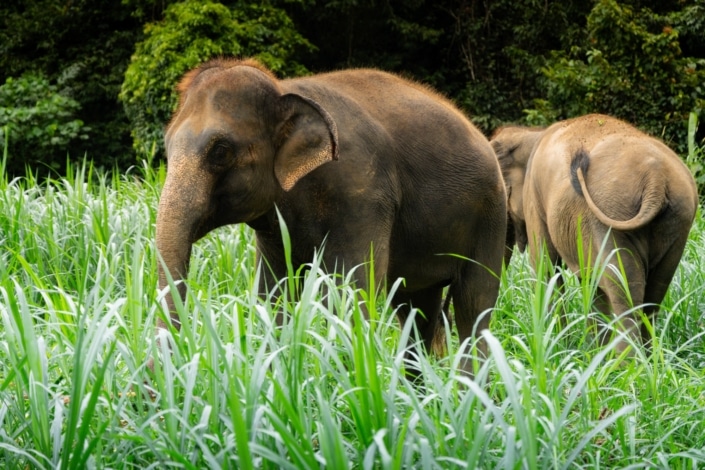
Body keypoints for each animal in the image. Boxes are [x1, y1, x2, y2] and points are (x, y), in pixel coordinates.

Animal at [156, 58, 507, 378]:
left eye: (221, 151)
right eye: (167, 146)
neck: (284, 88)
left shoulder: (362, 195)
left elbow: (349, 295)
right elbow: (274, 295)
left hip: (492, 217)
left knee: (473, 306)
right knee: (416, 308)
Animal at [491, 114, 698, 355]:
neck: (531, 134)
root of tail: (656, 179)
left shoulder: (535, 198)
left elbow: (546, 269)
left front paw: (558, 348)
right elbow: (590, 282)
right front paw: (592, 351)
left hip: (611, 215)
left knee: (623, 287)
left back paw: (625, 362)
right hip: (678, 222)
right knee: (654, 292)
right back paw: (646, 356)